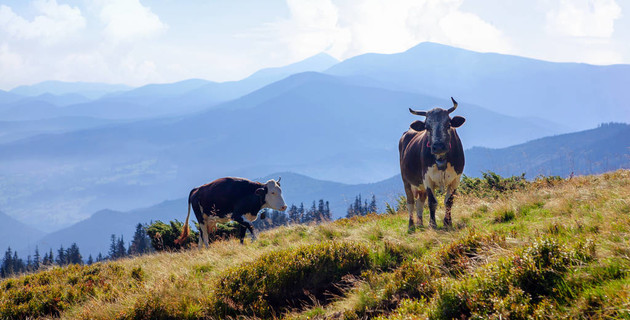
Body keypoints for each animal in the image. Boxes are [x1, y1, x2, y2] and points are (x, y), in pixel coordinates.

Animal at [402, 96, 466, 229]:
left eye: (448, 124)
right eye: (427, 127)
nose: (439, 146)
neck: (441, 159)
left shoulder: (456, 178)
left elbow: (449, 201)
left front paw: (448, 222)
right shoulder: (427, 178)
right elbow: (432, 202)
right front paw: (432, 224)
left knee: (420, 203)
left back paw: (420, 224)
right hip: (406, 181)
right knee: (410, 203)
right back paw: (411, 225)